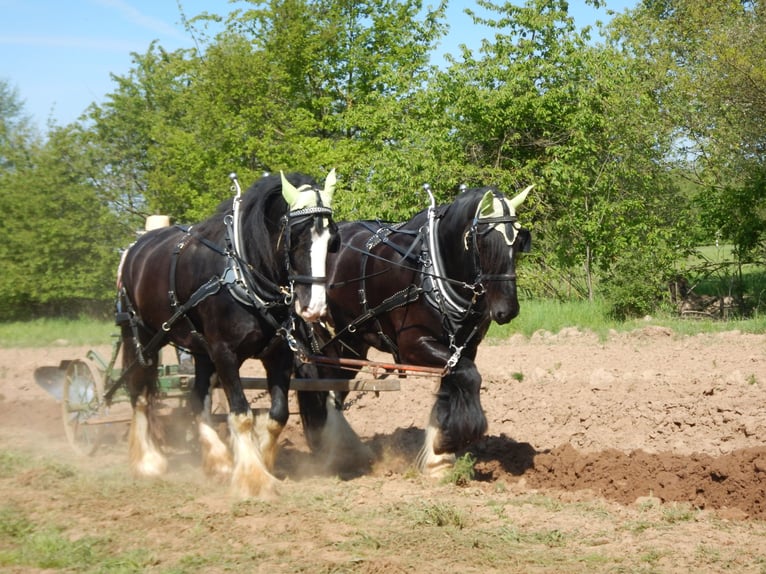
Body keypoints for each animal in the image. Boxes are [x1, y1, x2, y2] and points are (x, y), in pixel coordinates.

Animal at [116, 170, 337, 497]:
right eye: (296, 236)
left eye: (332, 240)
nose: (314, 307)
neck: (241, 273)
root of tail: (135, 247)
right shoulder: (225, 353)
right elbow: (242, 414)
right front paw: (255, 479)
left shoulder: (278, 354)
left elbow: (277, 415)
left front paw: (262, 460)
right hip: (141, 338)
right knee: (140, 393)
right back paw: (147, 461)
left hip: (200, 349)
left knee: (198, 399)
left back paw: (218, 461)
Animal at [296, 183, 531, 476]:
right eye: (483, 241)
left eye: (519, 242)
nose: (507, 310)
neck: (432, 272)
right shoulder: (413, 346)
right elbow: (469, 375)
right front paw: (452, 440)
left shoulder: (464, 347)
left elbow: (454, 384)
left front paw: (440, 455)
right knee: (321, 380)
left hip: (352, 341)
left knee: (335, 384)